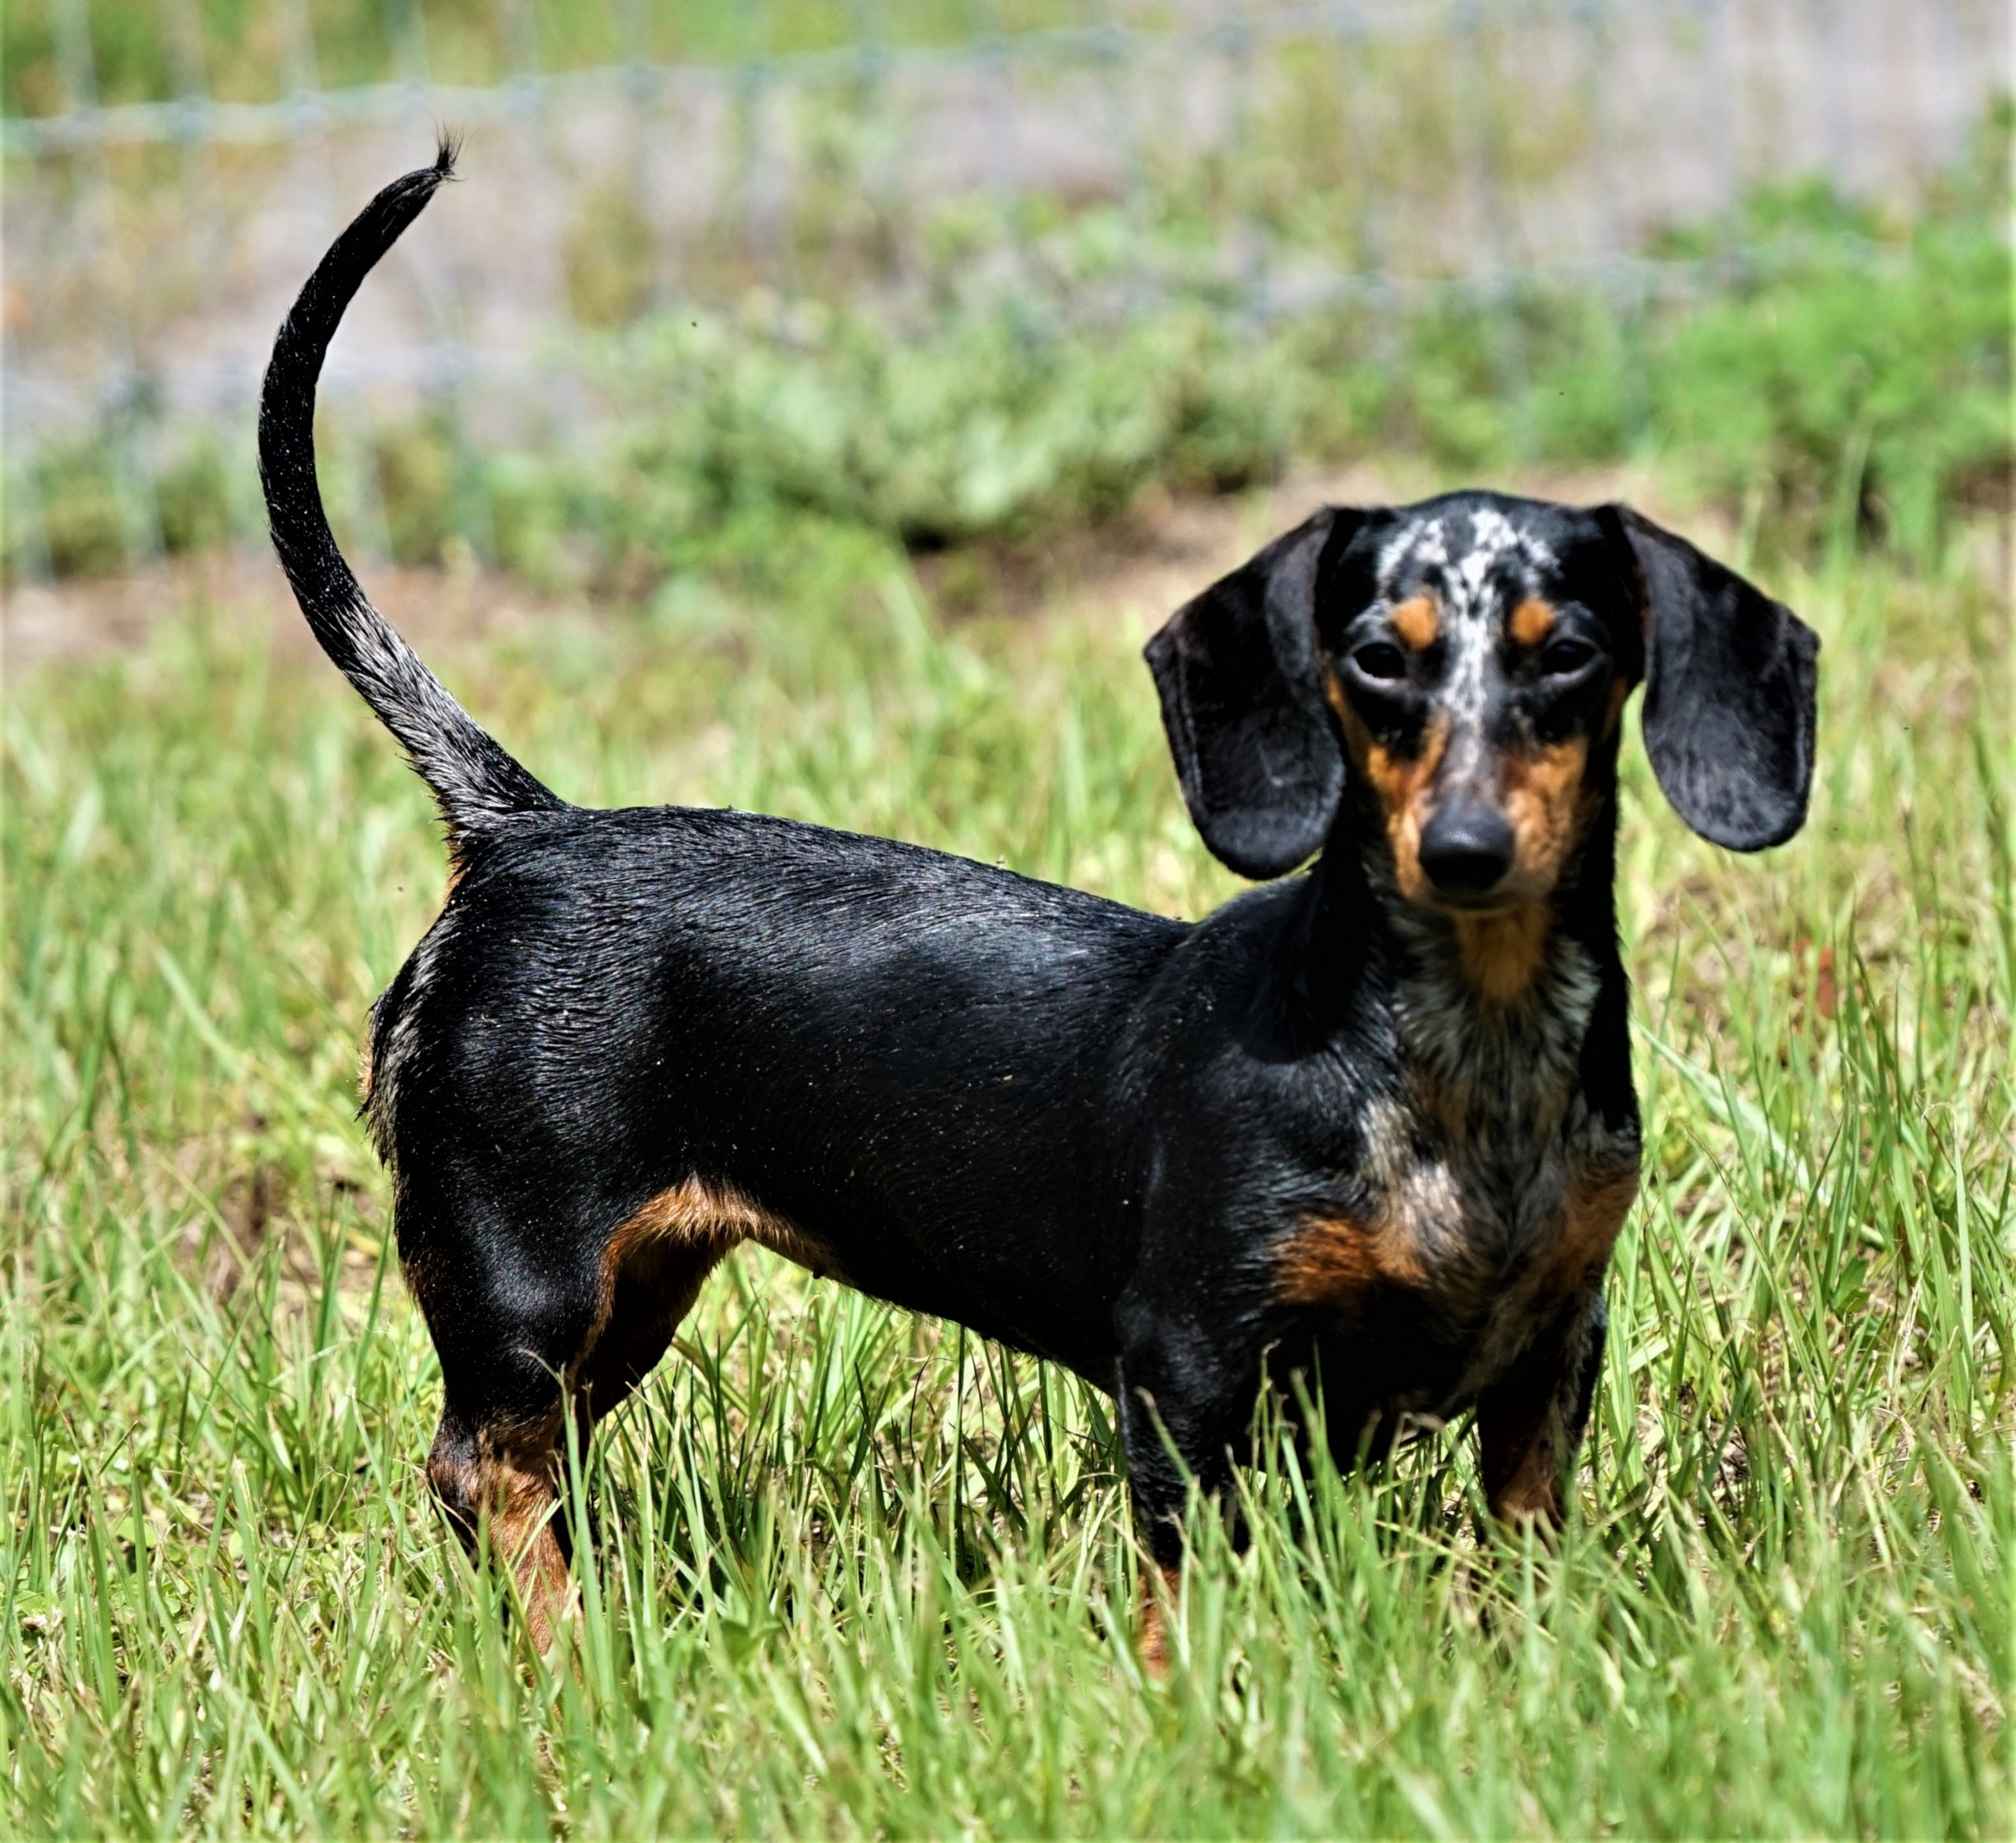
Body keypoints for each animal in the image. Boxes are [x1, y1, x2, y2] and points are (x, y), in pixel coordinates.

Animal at [260, 151, 1822, 1645]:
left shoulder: (1554, 1348)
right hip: (528, 1274)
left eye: (1570, 657)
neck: (1455, 1050)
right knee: (479, 1469)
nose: (1467, 850)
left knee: (528, 1470)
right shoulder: (1189, 1367)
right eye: (1380, 657)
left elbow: (1526, 1546)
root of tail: (528, 829)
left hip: (630, 1296)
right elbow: (1185, 1588)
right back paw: (571, 1657)